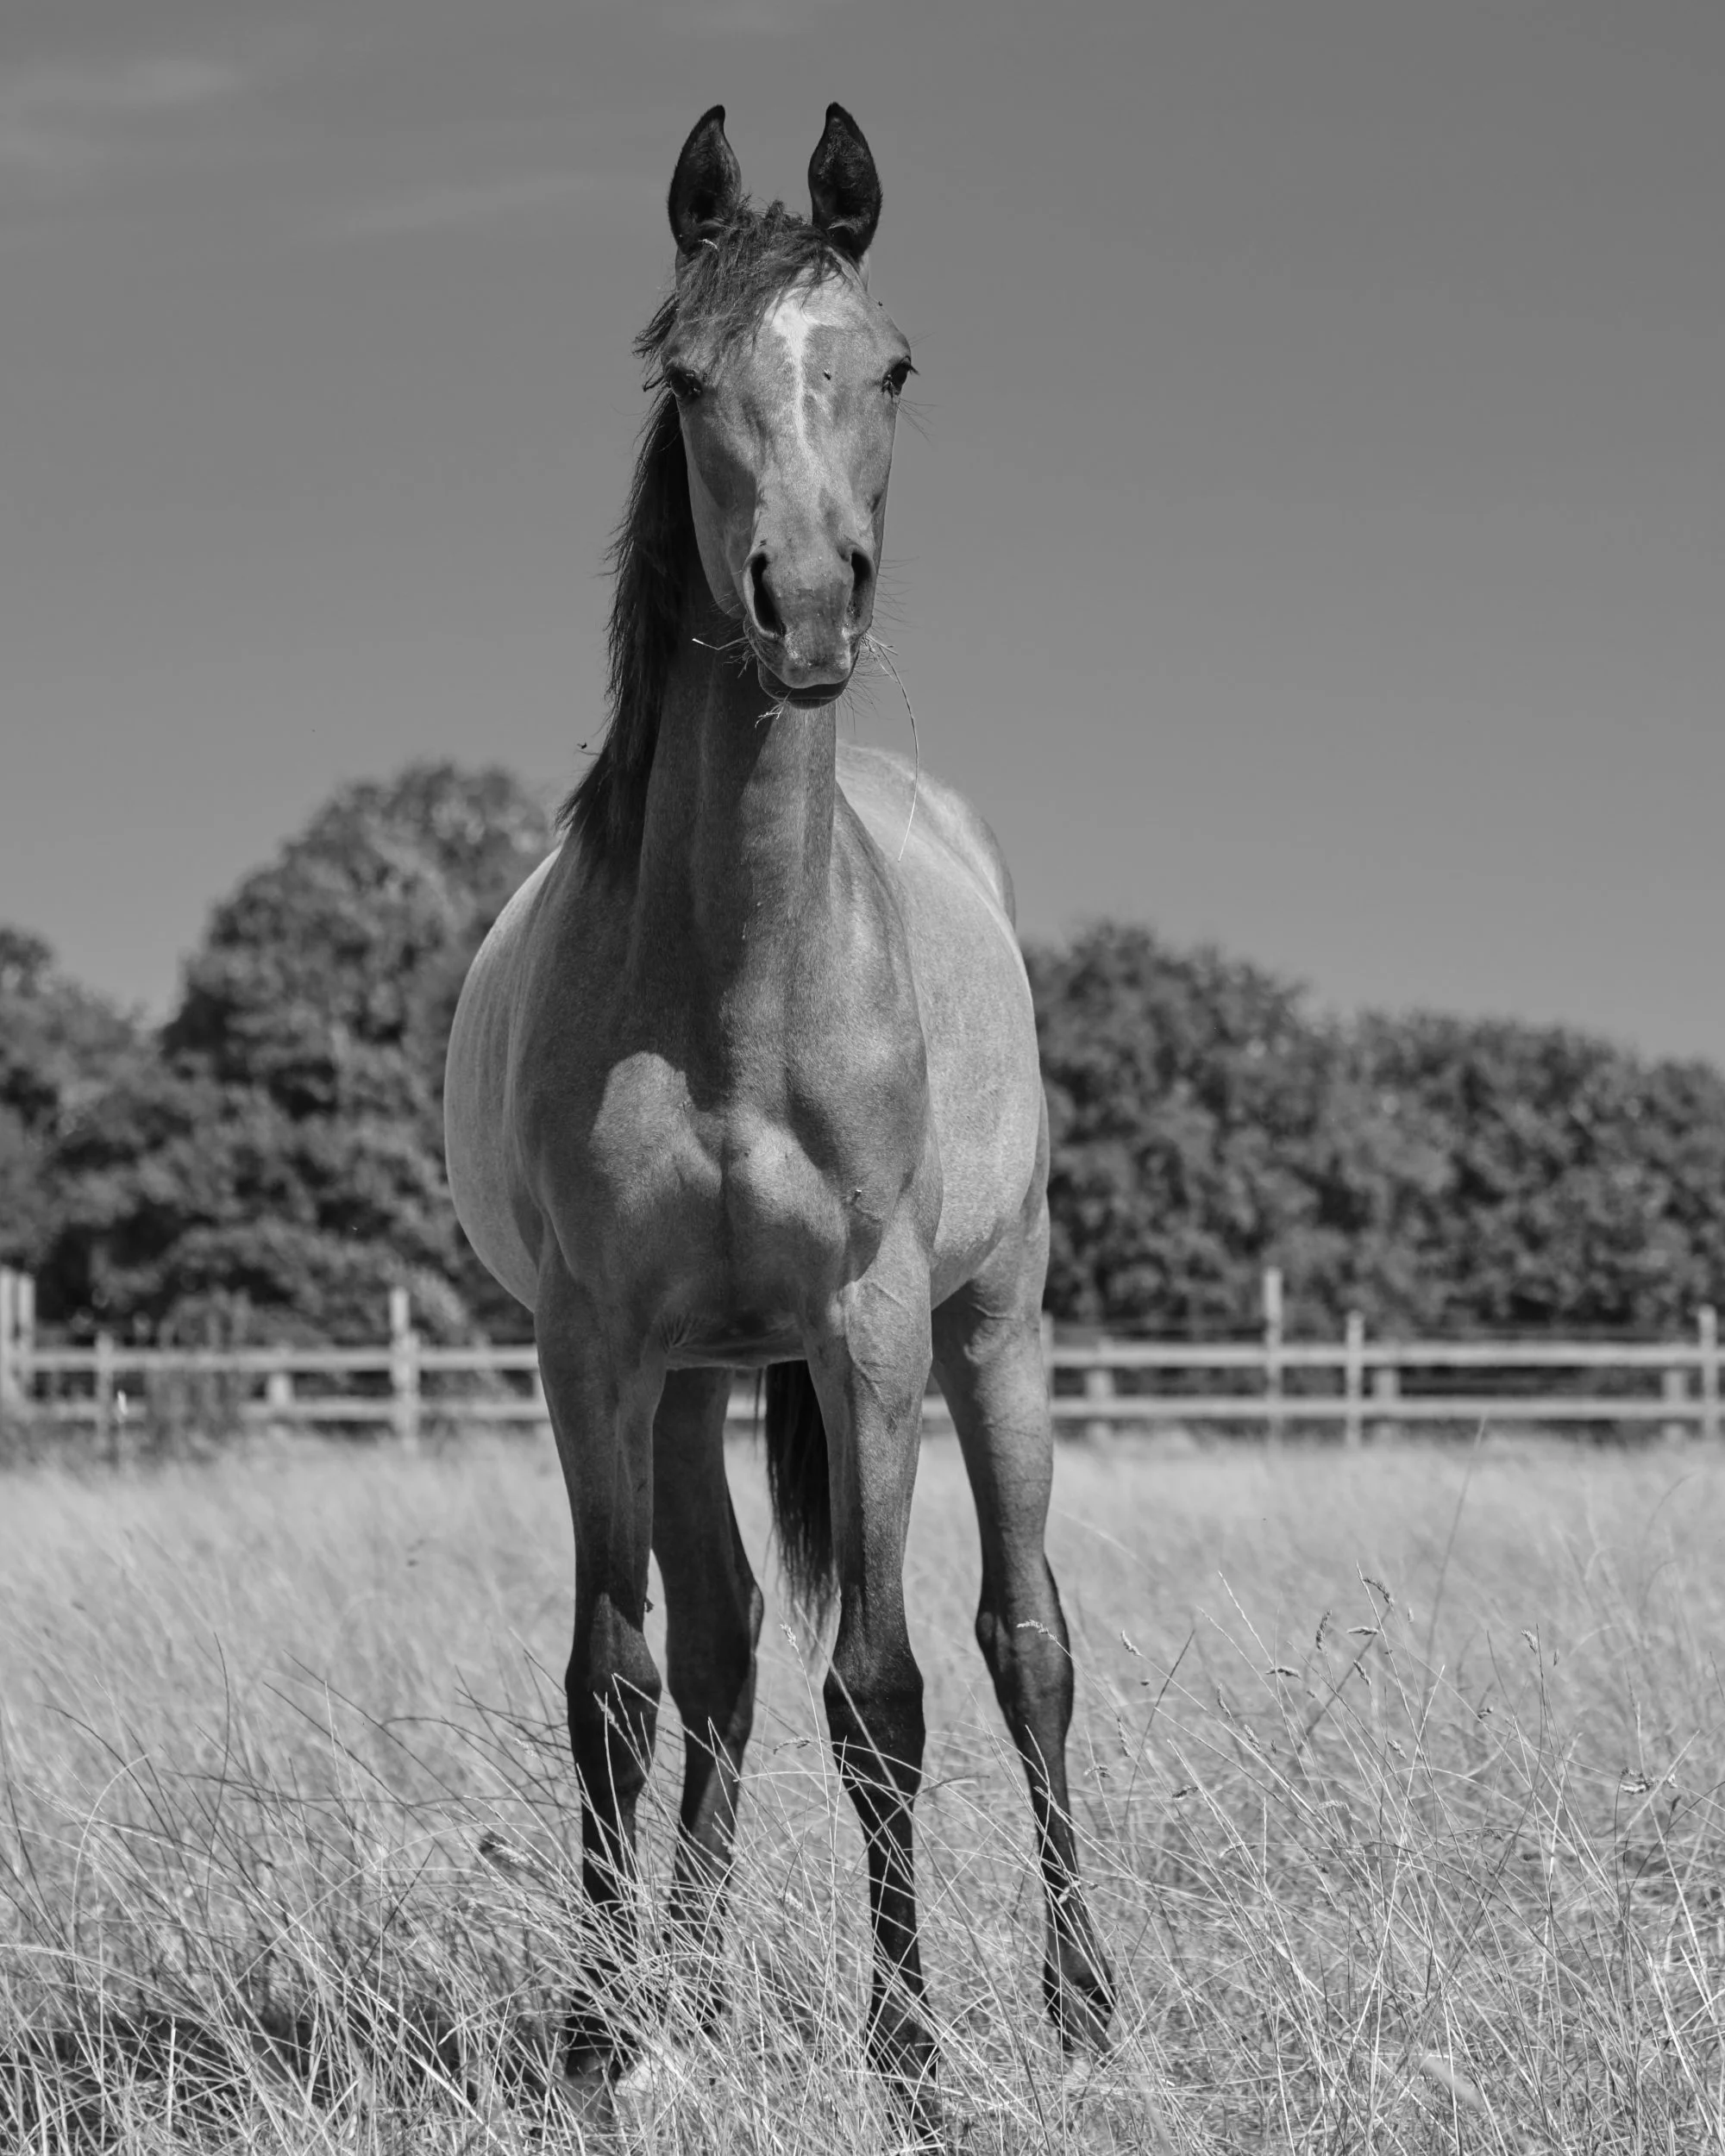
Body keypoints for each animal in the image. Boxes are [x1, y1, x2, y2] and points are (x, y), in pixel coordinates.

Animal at [444, 102, 1113, 2134]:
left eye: (891, 365)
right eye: (683, 375)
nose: (805, 601)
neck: (739, 972)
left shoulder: (866, 1325)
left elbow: (883, 1692)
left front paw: (911, 2059)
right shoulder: (594, 1344)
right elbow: (616, 1680)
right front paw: (596, 2038)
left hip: (994, 1324)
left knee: (1024, 1641)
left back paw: (1080, 2006)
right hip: (684, 1381)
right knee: (724, 1650)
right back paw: (685, 1993)